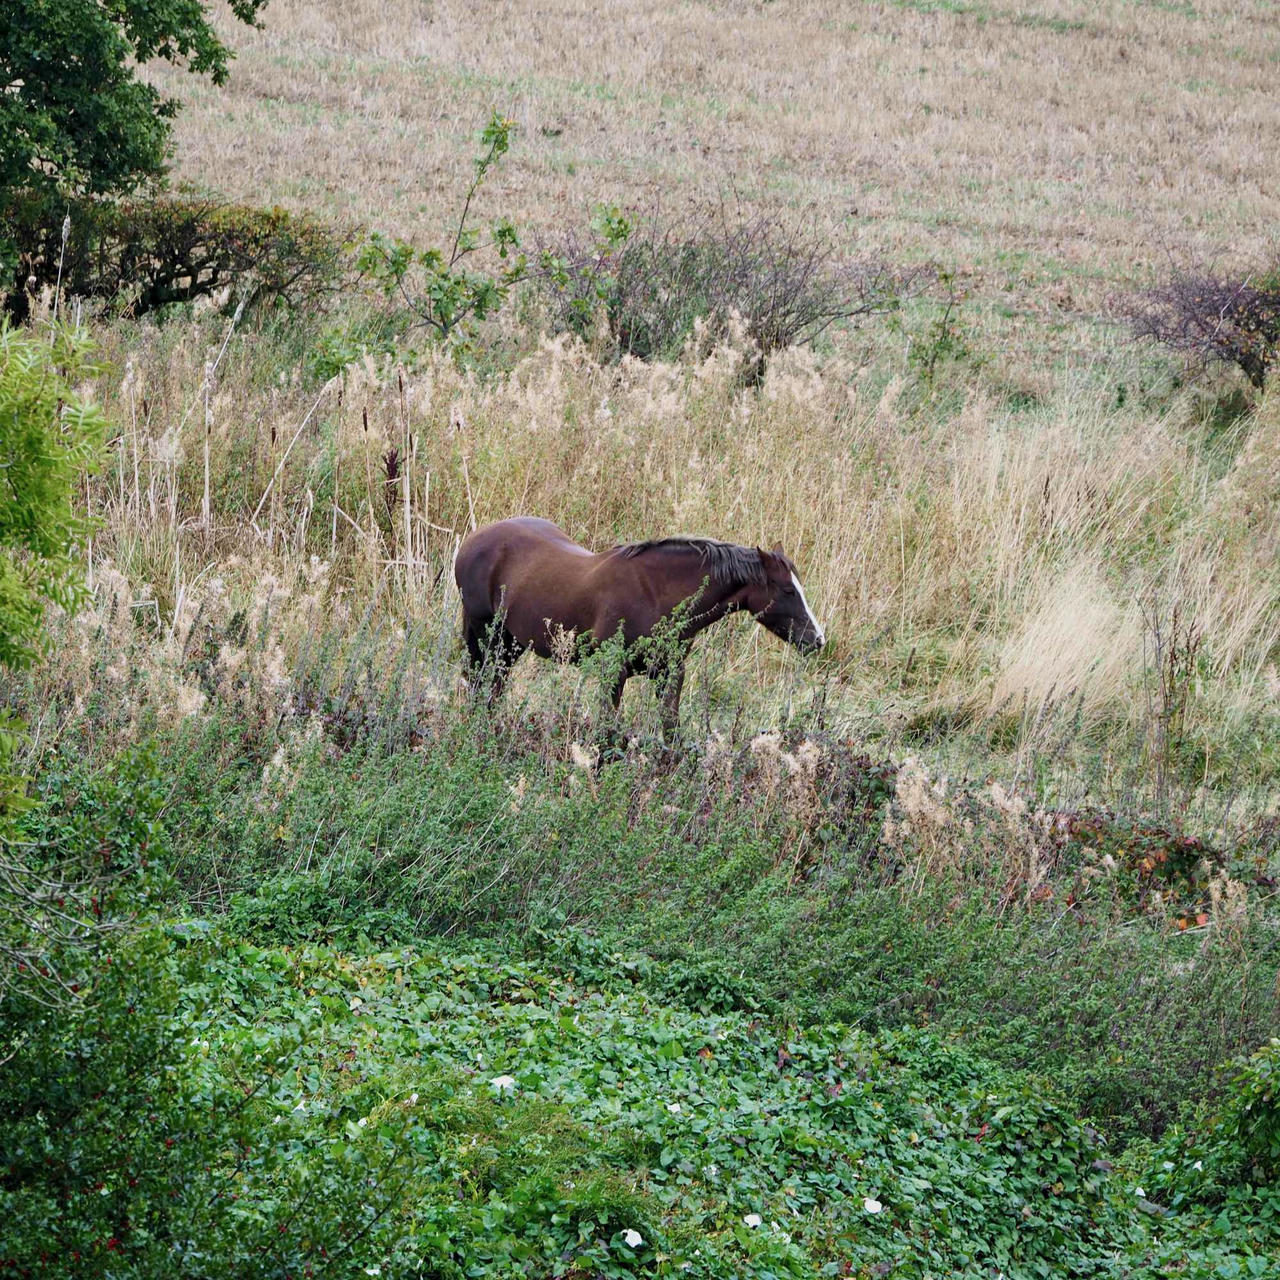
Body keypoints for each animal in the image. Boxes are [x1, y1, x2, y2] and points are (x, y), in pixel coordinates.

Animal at [453, 516, 826, 740]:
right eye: (787, 590)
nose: (817, 639)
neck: (655, 594)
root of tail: (473, 540)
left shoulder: (670, 673)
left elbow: (671, 732)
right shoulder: (613, 673)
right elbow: (607, 735)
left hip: (509, 643)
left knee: (493, 687)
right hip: (483, 633)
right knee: (478, 683)